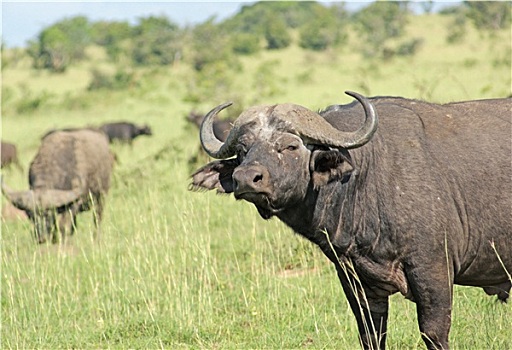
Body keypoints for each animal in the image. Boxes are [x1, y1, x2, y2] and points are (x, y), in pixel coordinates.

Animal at [190, 91, 510, 348]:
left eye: (290, 146)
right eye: (242, 151)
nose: (246, 178)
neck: (365, 180)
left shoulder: (432, 270)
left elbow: (433, 333)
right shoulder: (356, 282)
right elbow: (370, 335)